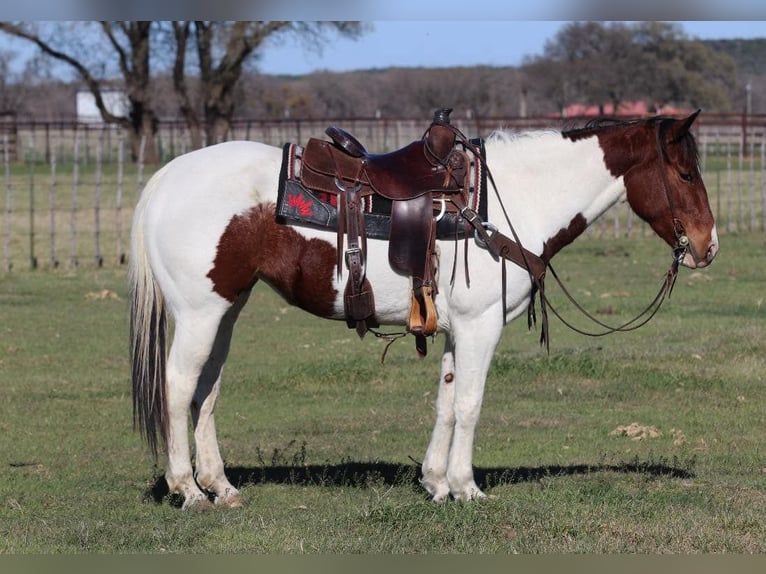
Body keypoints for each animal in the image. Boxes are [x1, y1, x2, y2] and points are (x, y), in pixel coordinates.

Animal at [129, 111, 718, 509]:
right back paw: (188, 490)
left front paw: (435, 483)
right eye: (687, 175)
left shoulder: (459, 330)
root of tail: (167, 178)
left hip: (225, 310)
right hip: (200, 313)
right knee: (178, 386)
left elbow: (446, 401)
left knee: (207, 390)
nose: (707, 247)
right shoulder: (481, 327)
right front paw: (466, 488)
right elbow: (471, 405)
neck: (510, 201)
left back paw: (222, 486)